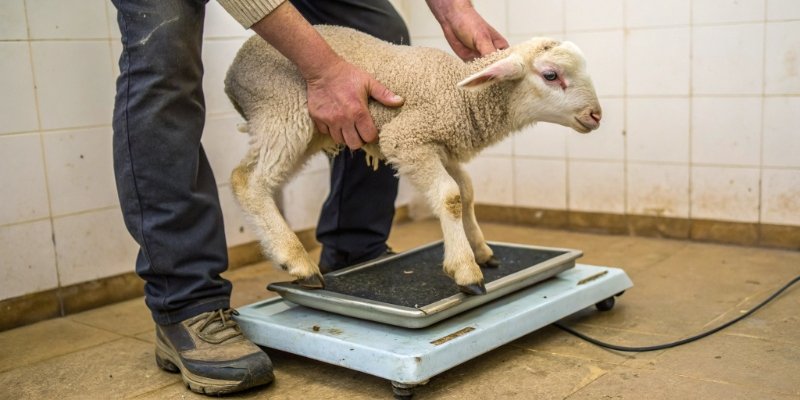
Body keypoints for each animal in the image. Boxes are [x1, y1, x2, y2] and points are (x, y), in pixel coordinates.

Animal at [224, 25, 601, 295]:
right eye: (551, 75)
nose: (596, 116)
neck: (459, 94)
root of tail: (233, 72)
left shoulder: (441, 144)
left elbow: (467, 191)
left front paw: (481, 249)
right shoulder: (407, 138)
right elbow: (450, 197)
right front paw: (466, 270)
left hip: (305, 128)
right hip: (282, 113)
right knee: (248, 181)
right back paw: (296, 261)